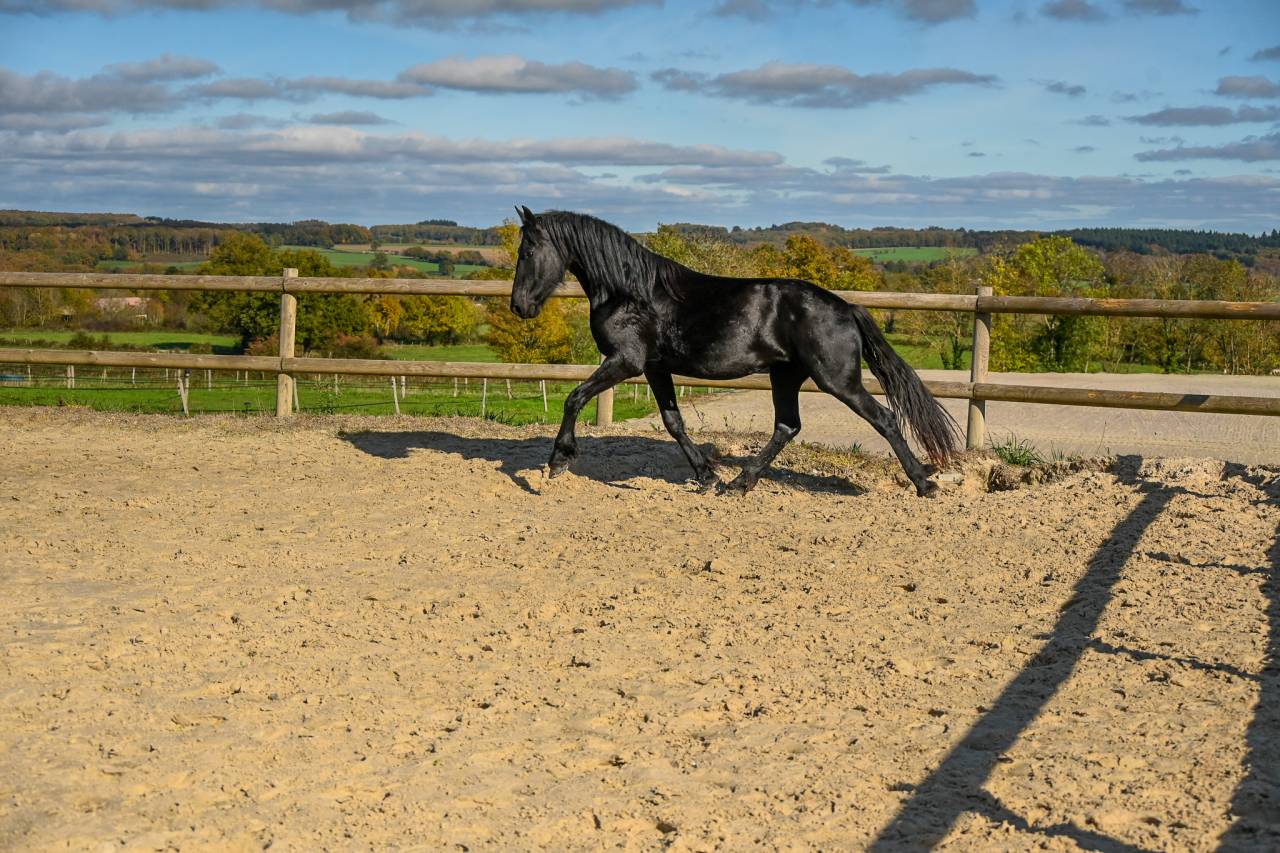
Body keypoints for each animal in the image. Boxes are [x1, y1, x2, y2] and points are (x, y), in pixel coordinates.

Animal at [510, 207, 959, 497]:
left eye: (527, 251)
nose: (519, 307)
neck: (629, 292)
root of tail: (846, 307)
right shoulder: (654, 367)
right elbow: (674, 422)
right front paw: (707, 477)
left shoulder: (626, 362)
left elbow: (574, 398)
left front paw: (558, 461)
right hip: (786, 374)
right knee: (787, 426)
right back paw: (740, 483)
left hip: (837, 380)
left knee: (883, 418)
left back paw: (924, 483)